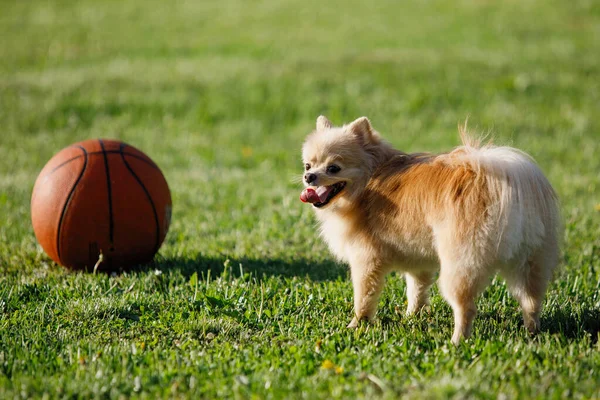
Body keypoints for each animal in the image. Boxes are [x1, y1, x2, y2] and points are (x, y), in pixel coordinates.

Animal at [302, 115, 560, 344]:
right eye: (308, 164)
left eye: (334, 168)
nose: (308, 176)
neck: (372, 178)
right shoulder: (418, 259)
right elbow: (416, 289)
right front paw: (411, 317)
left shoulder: (366, 259)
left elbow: (364, 297)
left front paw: (356, 325)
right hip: (531, 260)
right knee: (531, 300)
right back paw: (532, 333)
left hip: (461, 263)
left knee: (466, 307)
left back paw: (457, 341)